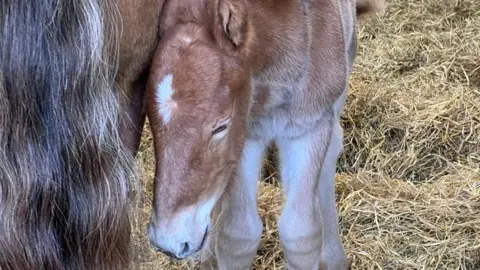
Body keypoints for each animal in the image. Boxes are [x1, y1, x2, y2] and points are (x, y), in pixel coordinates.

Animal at [145, 1, 378, 268]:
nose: (168, 241)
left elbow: (301, 234)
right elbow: (239, 235)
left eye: (221, 126)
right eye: (149, 120)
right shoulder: (246, 136)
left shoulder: (309, 127)